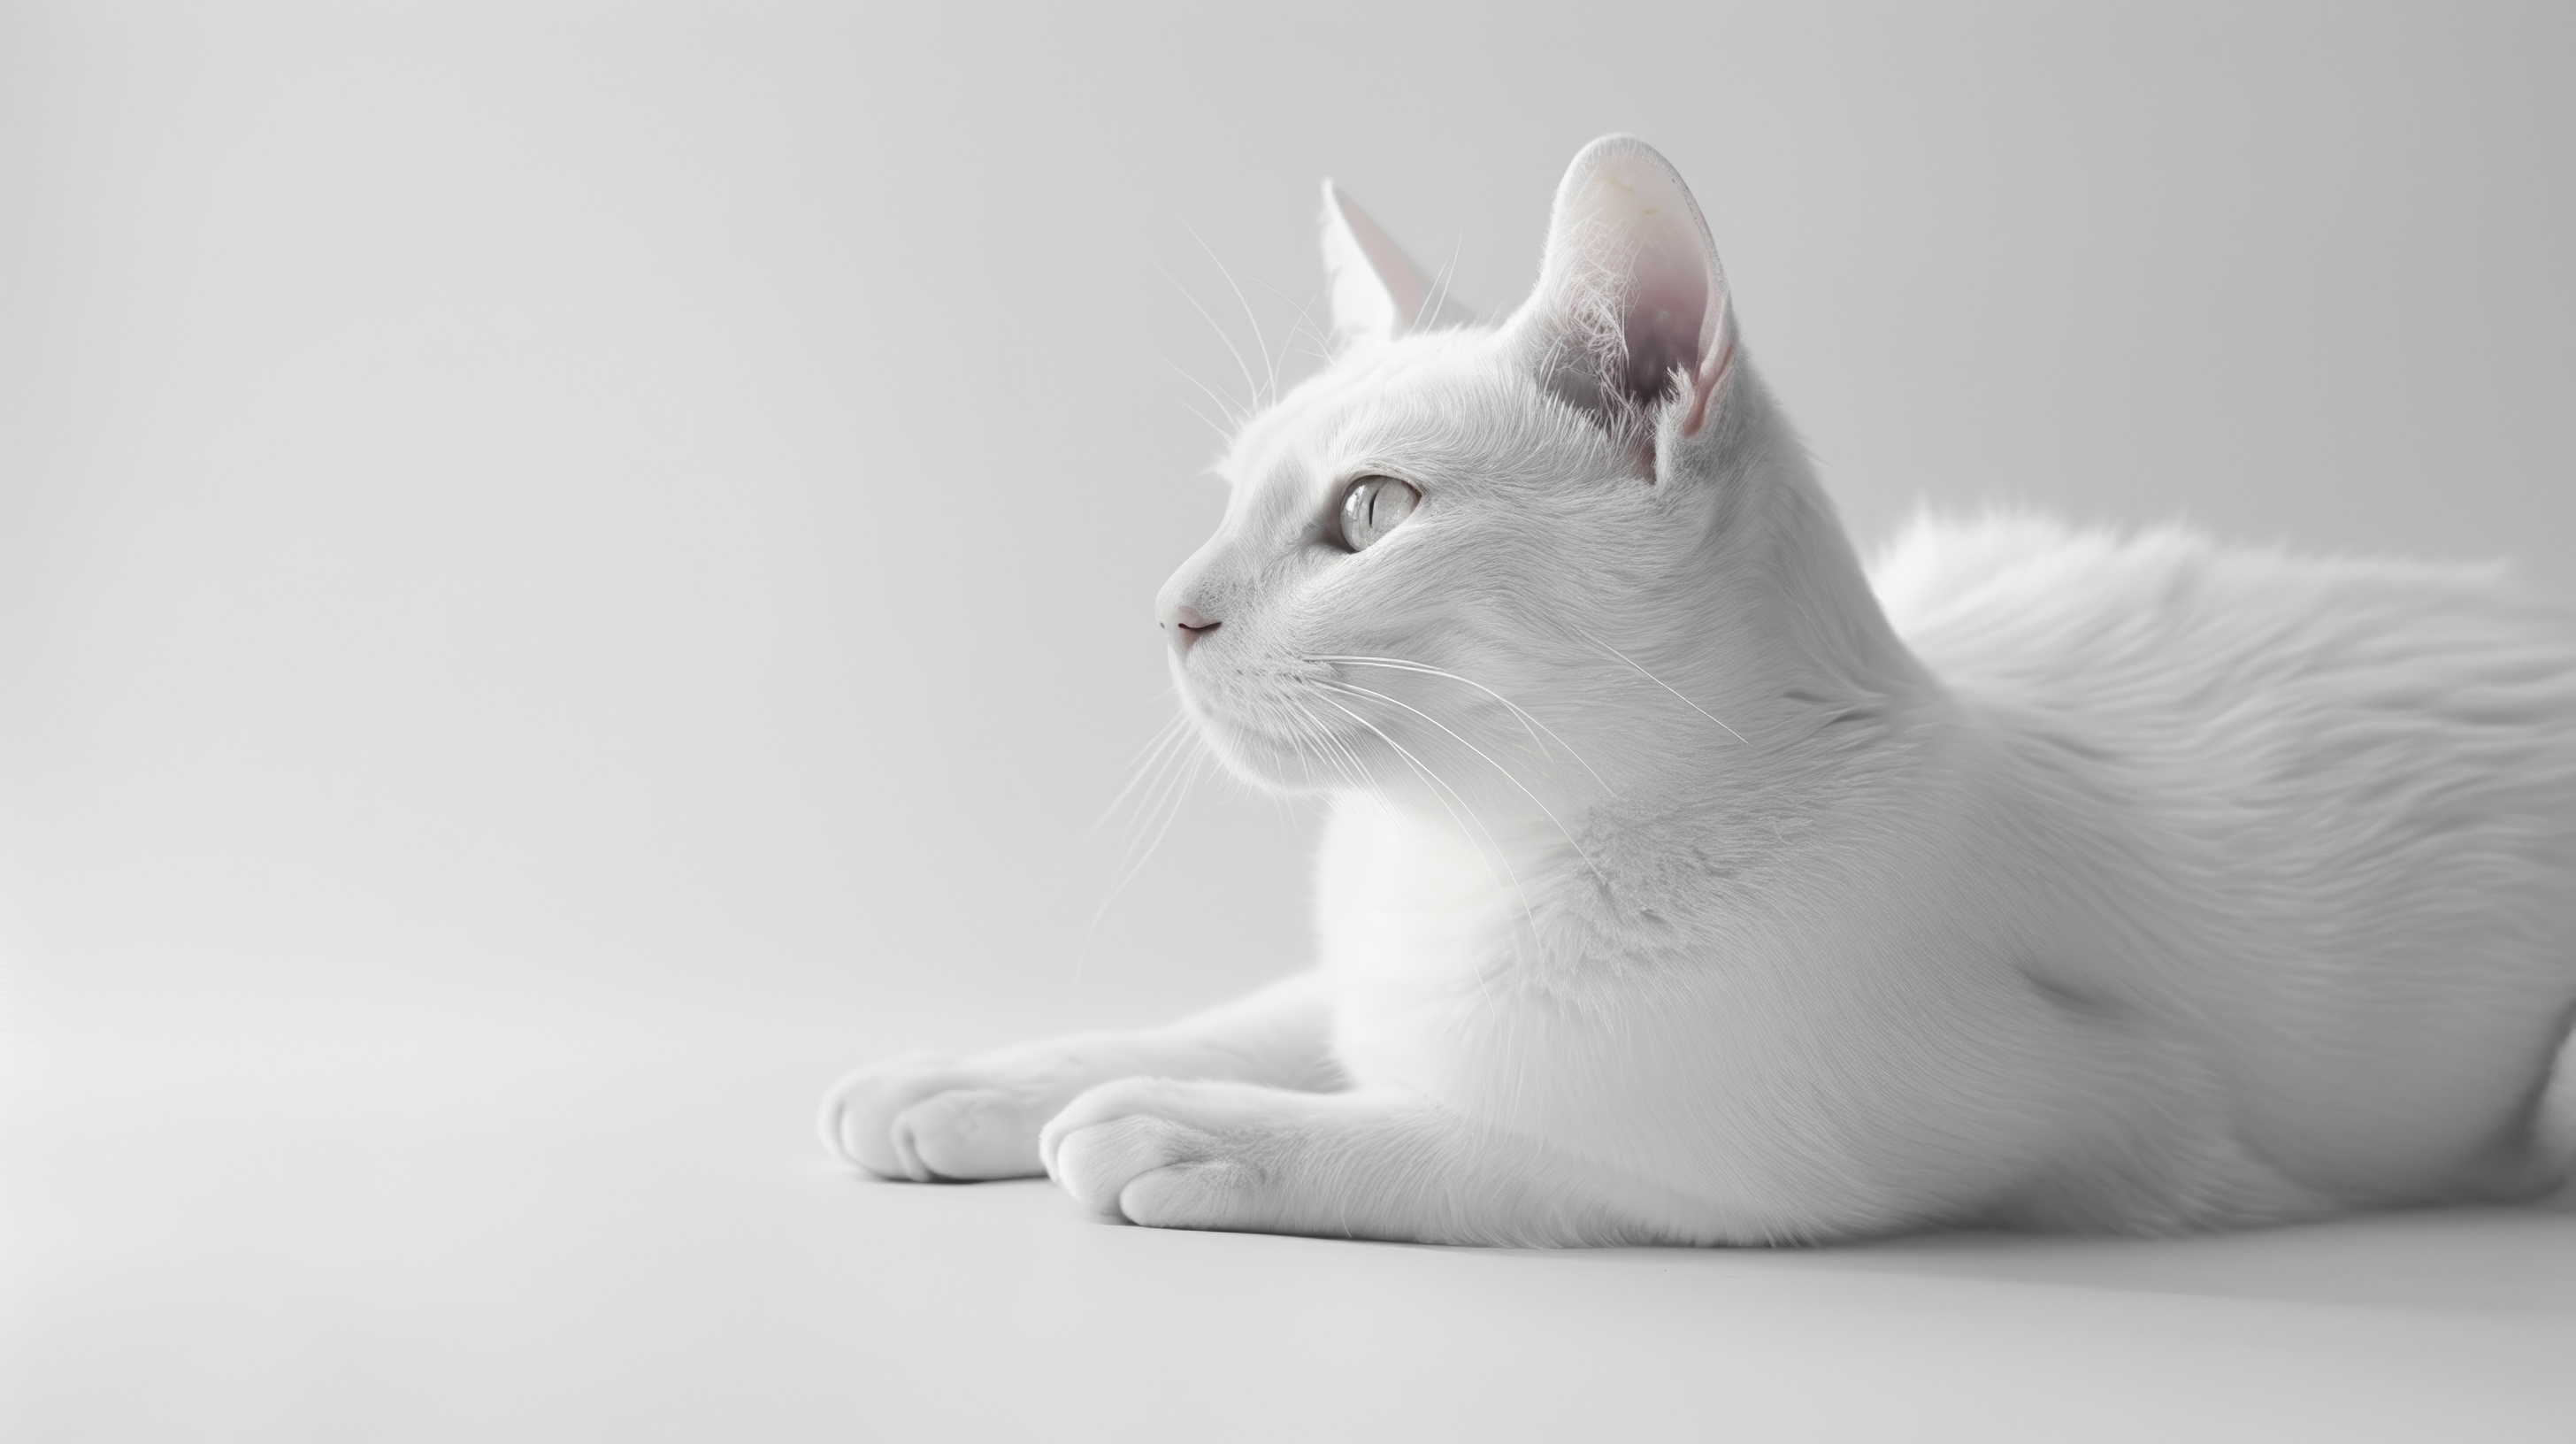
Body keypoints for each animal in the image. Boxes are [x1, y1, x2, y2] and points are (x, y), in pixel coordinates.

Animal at [819, 133, 2576, 1242]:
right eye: (1230, 497)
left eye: (1370, 514)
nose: (1167, 614)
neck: (1471, 857)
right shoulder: (1381, 975)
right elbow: (1268, 1013)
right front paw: (976, 1076)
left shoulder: (1998, 1136)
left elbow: (1489, 1143)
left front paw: (1189, 1126)